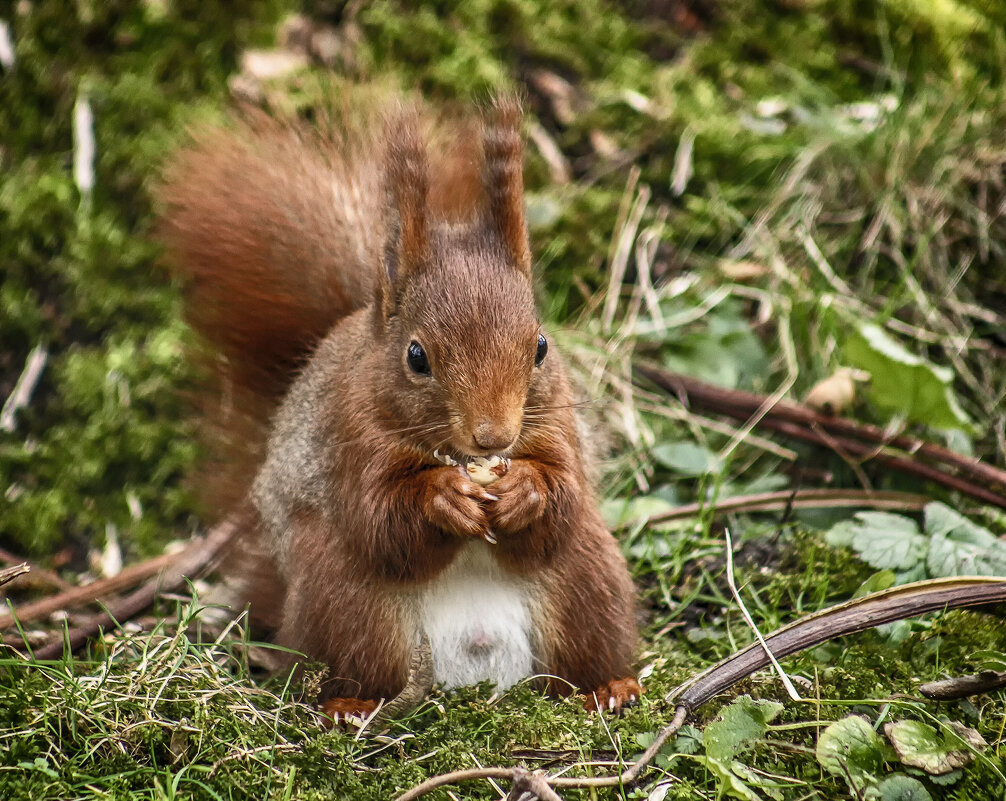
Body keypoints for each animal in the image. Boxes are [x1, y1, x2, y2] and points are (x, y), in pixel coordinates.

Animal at [160, 94, 639, 720]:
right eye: (416, 356)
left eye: (540, 346)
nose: (494, 437)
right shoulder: (349, 439)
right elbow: (379, 523)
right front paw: (442, 498)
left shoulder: (556, 425)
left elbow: (563, 499)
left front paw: (524, 490)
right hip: (347, 601)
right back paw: (350, 705)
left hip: (588, 578)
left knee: (577, 634)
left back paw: (607, 687)